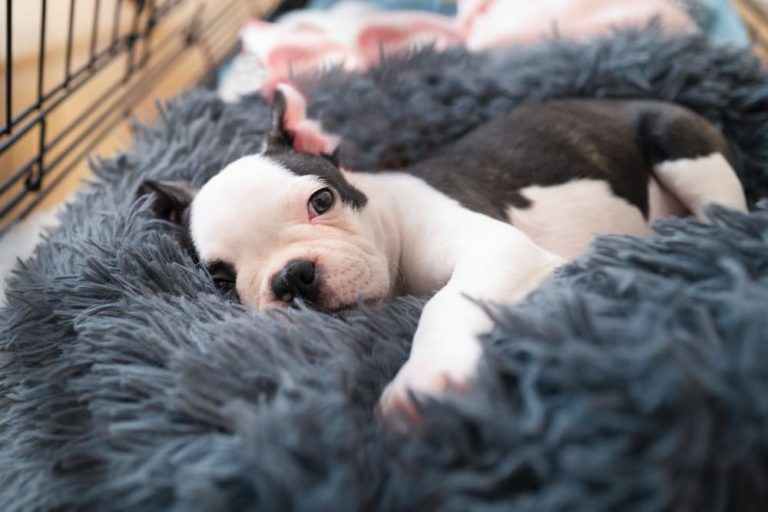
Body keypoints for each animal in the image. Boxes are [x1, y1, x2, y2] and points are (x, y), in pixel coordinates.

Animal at [141, 84, 748, 412]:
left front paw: (424, 384)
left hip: (679, 145)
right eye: (222, 282)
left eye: (321, 200)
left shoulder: (498, 248)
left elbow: (445, 304)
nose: (291, 277)